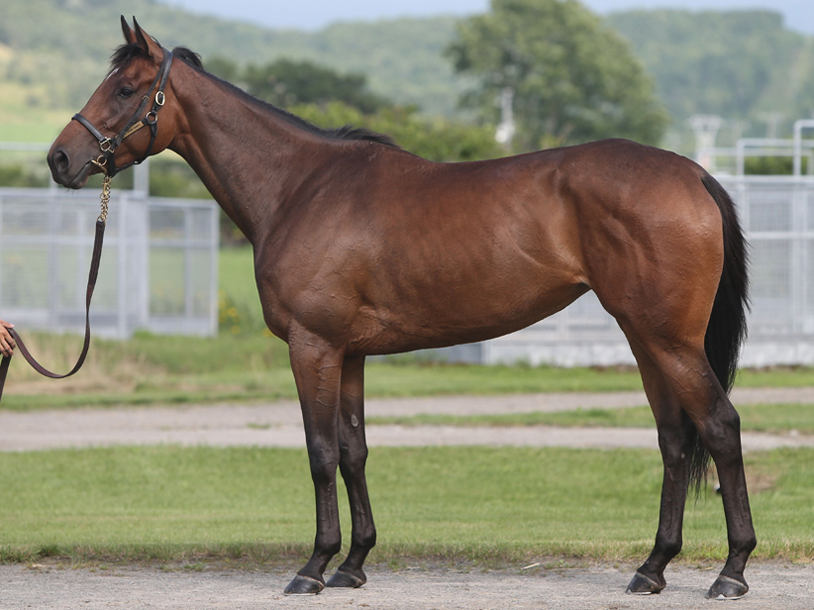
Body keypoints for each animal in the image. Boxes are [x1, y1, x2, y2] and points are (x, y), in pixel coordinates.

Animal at [47, 17, 755, 599]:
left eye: (127, 89)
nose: (59, 159)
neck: (300, 188)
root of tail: (693, 174)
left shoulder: (312, 346)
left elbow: (320, 451)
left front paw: (313, 567)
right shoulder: (350, 352)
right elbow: (354, 450)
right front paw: (354, 564)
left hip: (669, 341)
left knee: (719, 426)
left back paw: (731, 571)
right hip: (643, 338)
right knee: (673, 439)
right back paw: (652, 568)